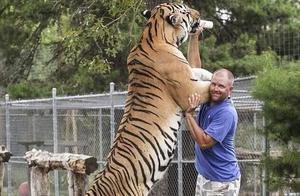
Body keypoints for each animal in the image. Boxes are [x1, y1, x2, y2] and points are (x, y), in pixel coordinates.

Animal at [85, 2, 212, 195]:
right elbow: (208, 86)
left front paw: (213, 74)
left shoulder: (189, 74)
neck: (154, 33)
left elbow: (199, 71)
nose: (199, 14)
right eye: (186, 10)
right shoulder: (189, 90)